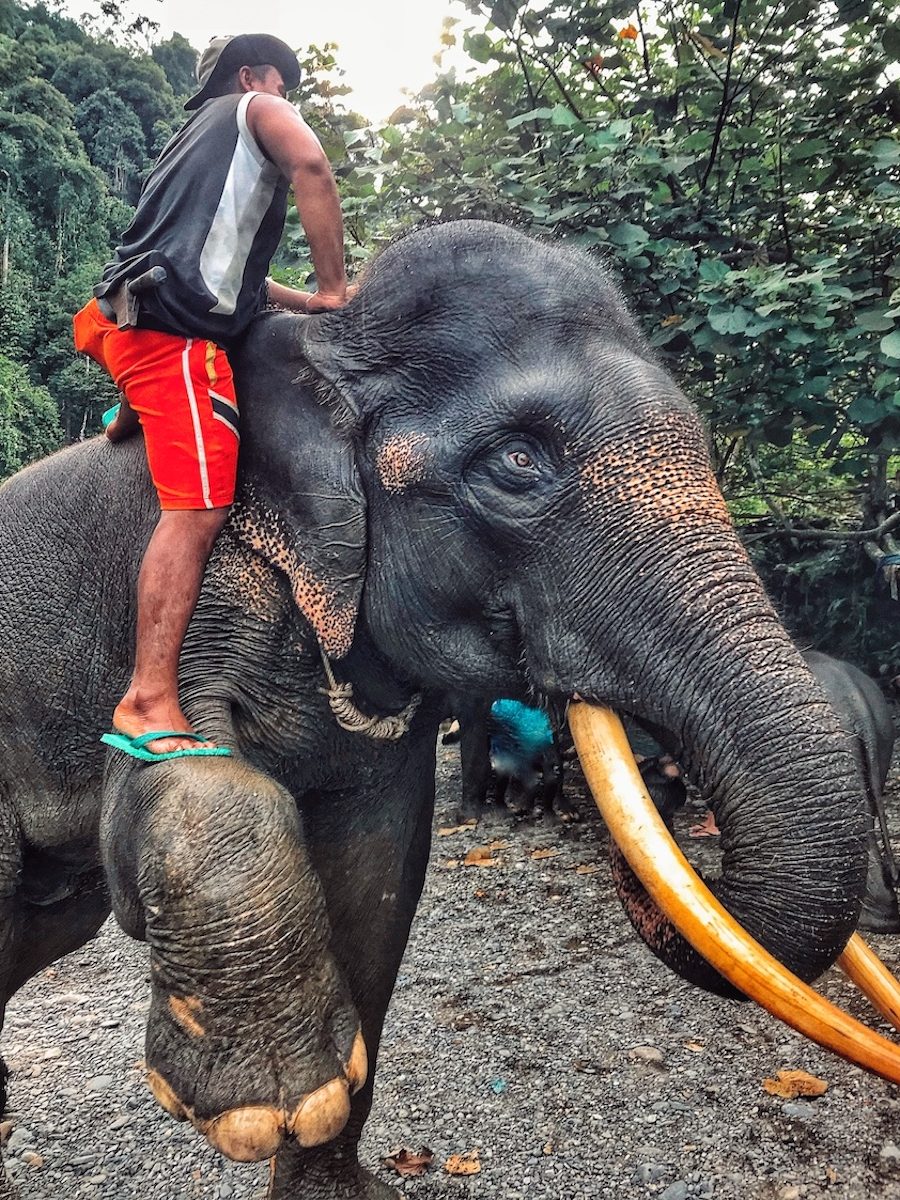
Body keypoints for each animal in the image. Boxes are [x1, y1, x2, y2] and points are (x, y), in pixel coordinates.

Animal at [0, 220, 888, 1195]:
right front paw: (268, 1099)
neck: (324, 347)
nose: (663, 847)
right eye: (518, 461)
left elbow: (380, 872)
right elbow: (174, 773)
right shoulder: (189, 561)